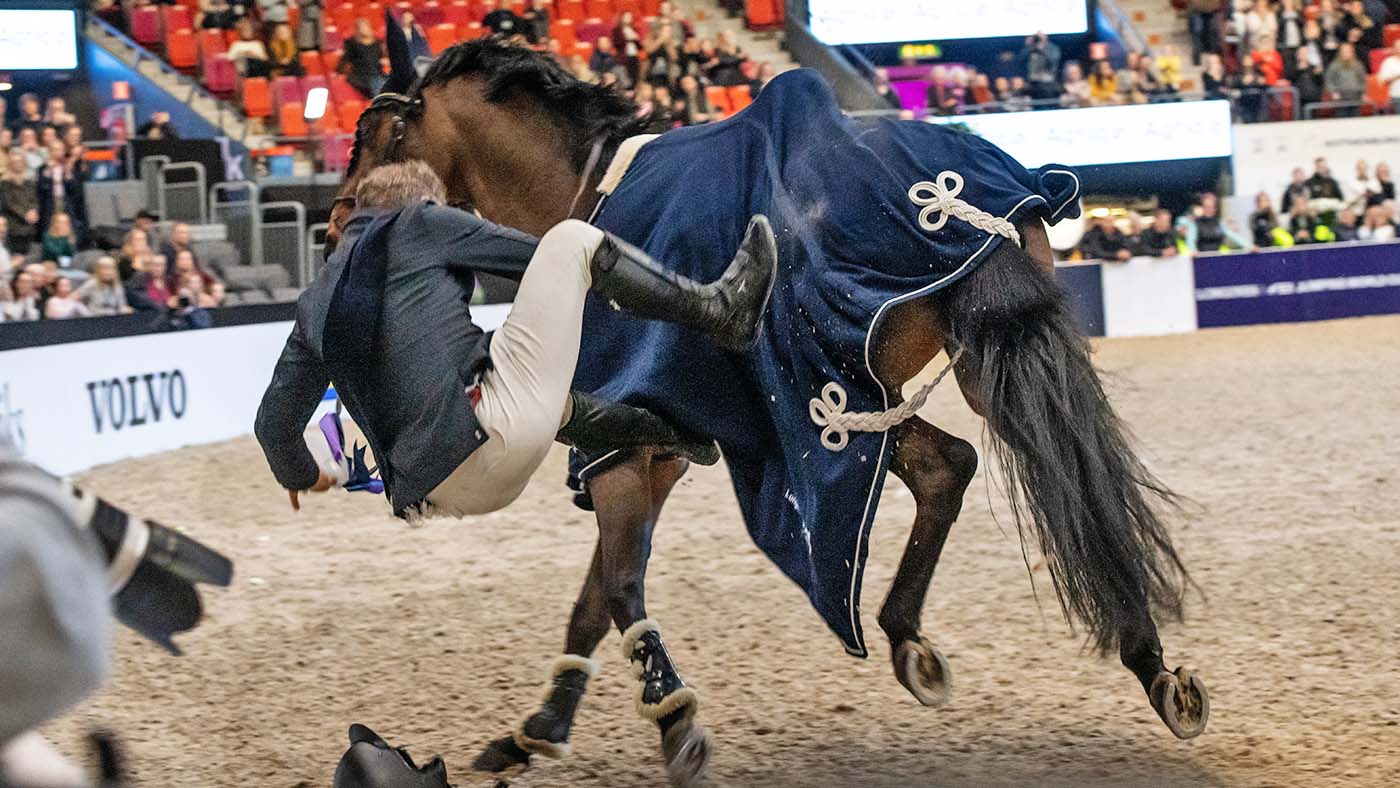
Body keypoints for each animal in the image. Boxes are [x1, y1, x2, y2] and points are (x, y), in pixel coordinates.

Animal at [325, 38, 1210, 786]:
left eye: (373, 127)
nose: (335, 219)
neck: (588, 205)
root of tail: (946, 201)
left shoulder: (636, 448)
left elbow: (616, 587)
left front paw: (673, 721)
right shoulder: (680, 438)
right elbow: (591, 601)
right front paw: (539, 727)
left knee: (1017, 478)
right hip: (900, 382)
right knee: (988, 472)